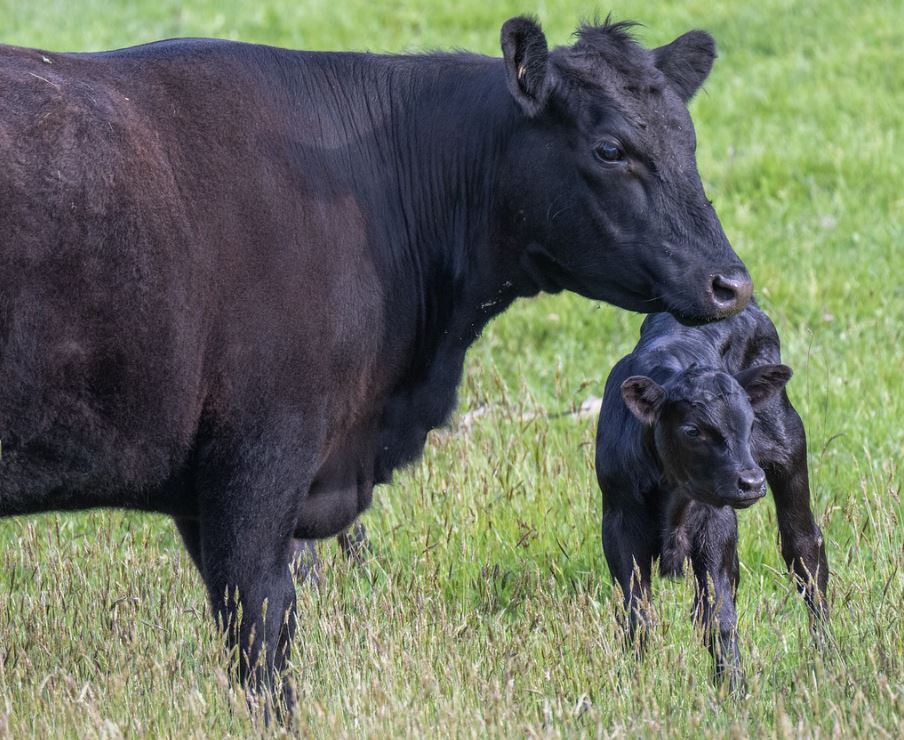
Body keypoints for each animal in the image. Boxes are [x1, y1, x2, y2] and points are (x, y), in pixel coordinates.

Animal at [0, 17, 748, 712]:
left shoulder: (205, 483)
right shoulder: (260, 455)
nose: (730, 283)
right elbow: (262, 627)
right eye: (611, 149)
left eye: (689, 142)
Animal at [596, 300, 828, 688]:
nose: (751, 481)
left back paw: (827, 654)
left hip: (789, 450)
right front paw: (633, 680)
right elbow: (637, 612)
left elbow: (718, 616)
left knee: (804, 550)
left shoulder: (715, 523)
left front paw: (732, 686)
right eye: (692, 430)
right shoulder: (619, 520)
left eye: (749, 422)